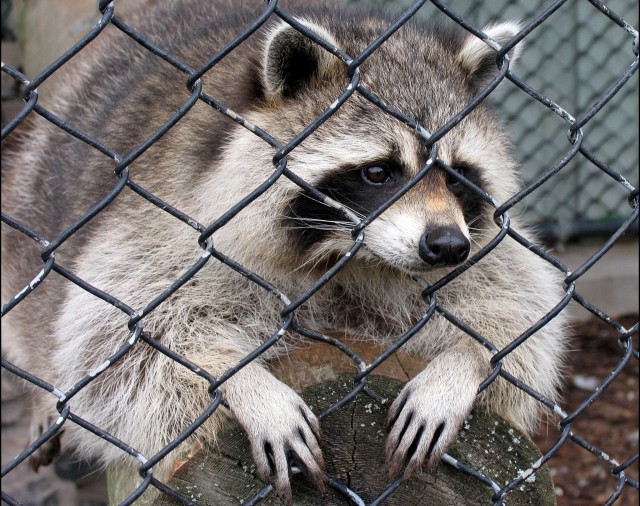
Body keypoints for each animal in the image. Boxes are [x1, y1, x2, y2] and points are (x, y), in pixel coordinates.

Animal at [1, 0, 567, 502]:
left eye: (454, 175)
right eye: (378, 172)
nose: (448, 247)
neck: (346, 255)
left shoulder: (477, 240)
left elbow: (522, 307)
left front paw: (464, 363)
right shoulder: (169, 218)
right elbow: (117, 340)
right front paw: (243, 382)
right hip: (34, 195)